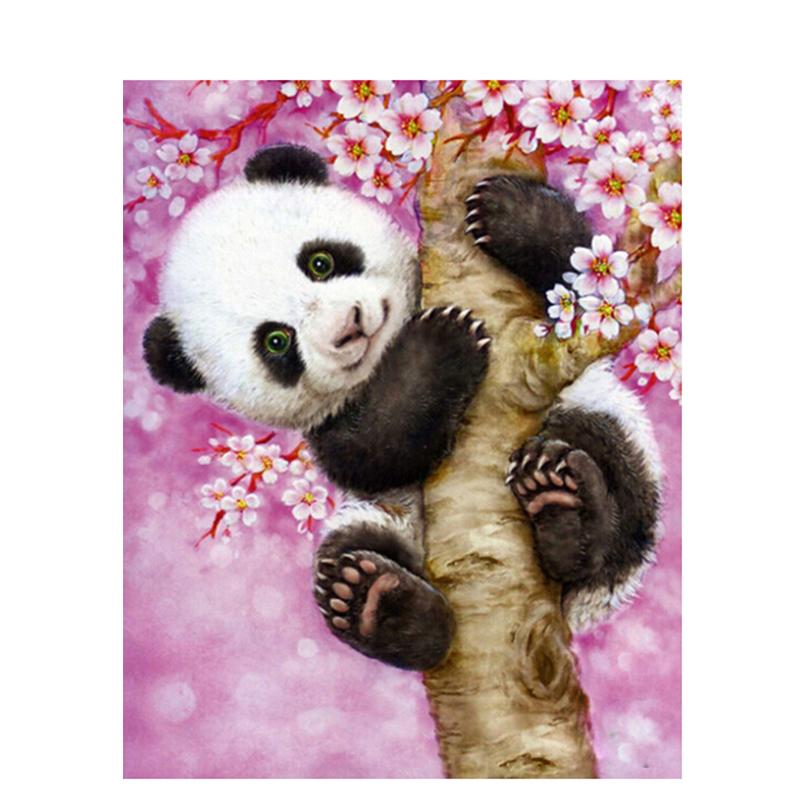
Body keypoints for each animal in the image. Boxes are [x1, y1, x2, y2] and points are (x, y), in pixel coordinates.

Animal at [143, 144, 661, 671]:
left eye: (320, 262)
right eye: (276, 341)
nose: (349, 326)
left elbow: (588, 282)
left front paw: (507, 211)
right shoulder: (329, 425)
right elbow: (374, 451)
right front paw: (440, 344)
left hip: (610, 429)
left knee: (607, 467)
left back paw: (566, 509)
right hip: (380, 523)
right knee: (349, 556)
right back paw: (382, 605)